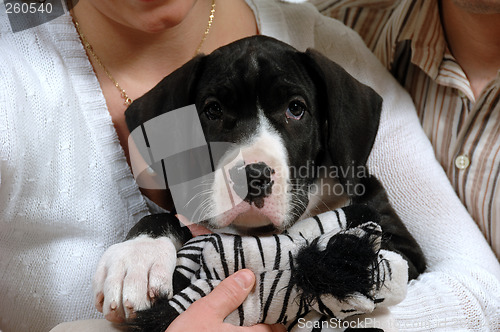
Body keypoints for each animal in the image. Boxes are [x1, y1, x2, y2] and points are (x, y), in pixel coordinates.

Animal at [92, 35, 424, 322]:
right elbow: (171, 222)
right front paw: (137, 256)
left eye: (296, 108)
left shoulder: (403, 252)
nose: (251, 176)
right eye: (213, 110)